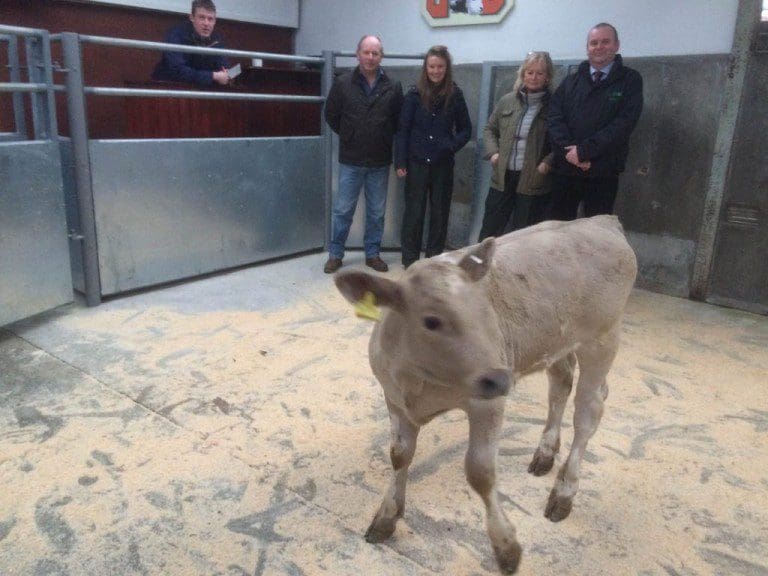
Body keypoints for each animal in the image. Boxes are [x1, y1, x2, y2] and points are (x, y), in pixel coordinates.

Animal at [334, 215, 637, 574]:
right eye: (431, 321)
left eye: (487, 314)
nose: (501, 376)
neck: (420, 381)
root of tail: (602, 221)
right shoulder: (393, 399)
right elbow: (399, 455)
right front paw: (386, 517)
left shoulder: (487, 404)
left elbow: (480, 472)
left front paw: (506, 548)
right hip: (556, 343)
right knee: (561, 385)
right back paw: (545, 453)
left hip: (603, 339)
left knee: (588, 412)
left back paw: (563, 493)